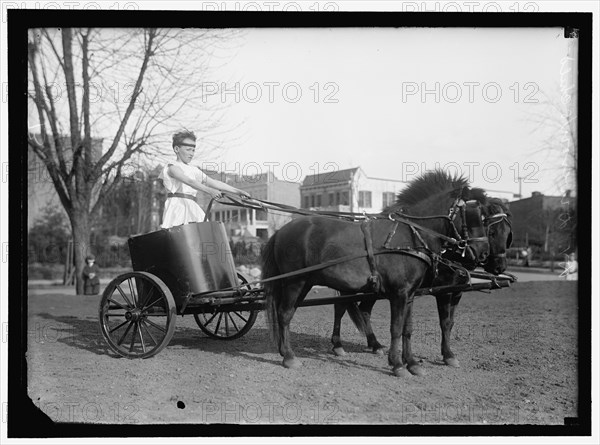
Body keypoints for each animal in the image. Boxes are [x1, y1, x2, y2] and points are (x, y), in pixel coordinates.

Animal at [262, 170, 492, 374]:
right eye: (473, 214)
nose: (483, 252)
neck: (409, 236)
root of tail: (280, 231)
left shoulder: (410, 295)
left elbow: (408, 329)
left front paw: (412, 363)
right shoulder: (399, 293)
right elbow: (396, 328)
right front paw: (397, 364)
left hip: (304, 283)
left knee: (291, 312)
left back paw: (285, 350)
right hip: (295, 282)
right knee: (285, 314)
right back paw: (289, 357)